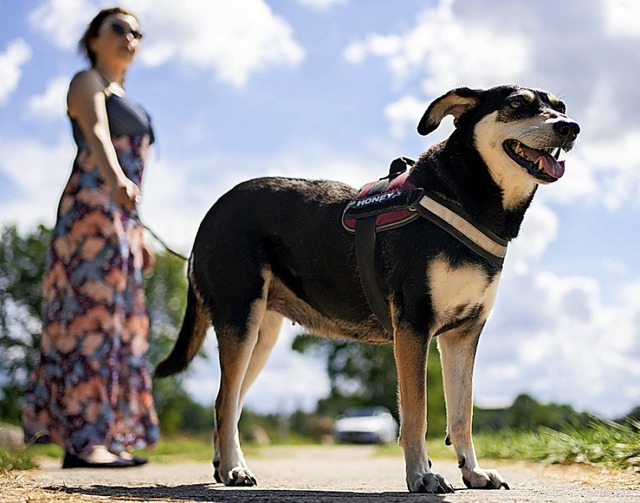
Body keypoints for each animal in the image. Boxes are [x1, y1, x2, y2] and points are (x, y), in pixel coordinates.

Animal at [156, 85, 580, 492]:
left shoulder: (463, 335)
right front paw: (421, 476)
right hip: (240, 321)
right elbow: (416, 413)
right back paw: (234, 469)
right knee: (225, 403)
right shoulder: (413, 326)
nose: (570, 127)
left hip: (259, 336)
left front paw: (473, 472)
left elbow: (463, 414)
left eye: (560, 106)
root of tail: (211, 214)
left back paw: (224, 465)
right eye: (518, 104)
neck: (466, 198)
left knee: (228, 402)